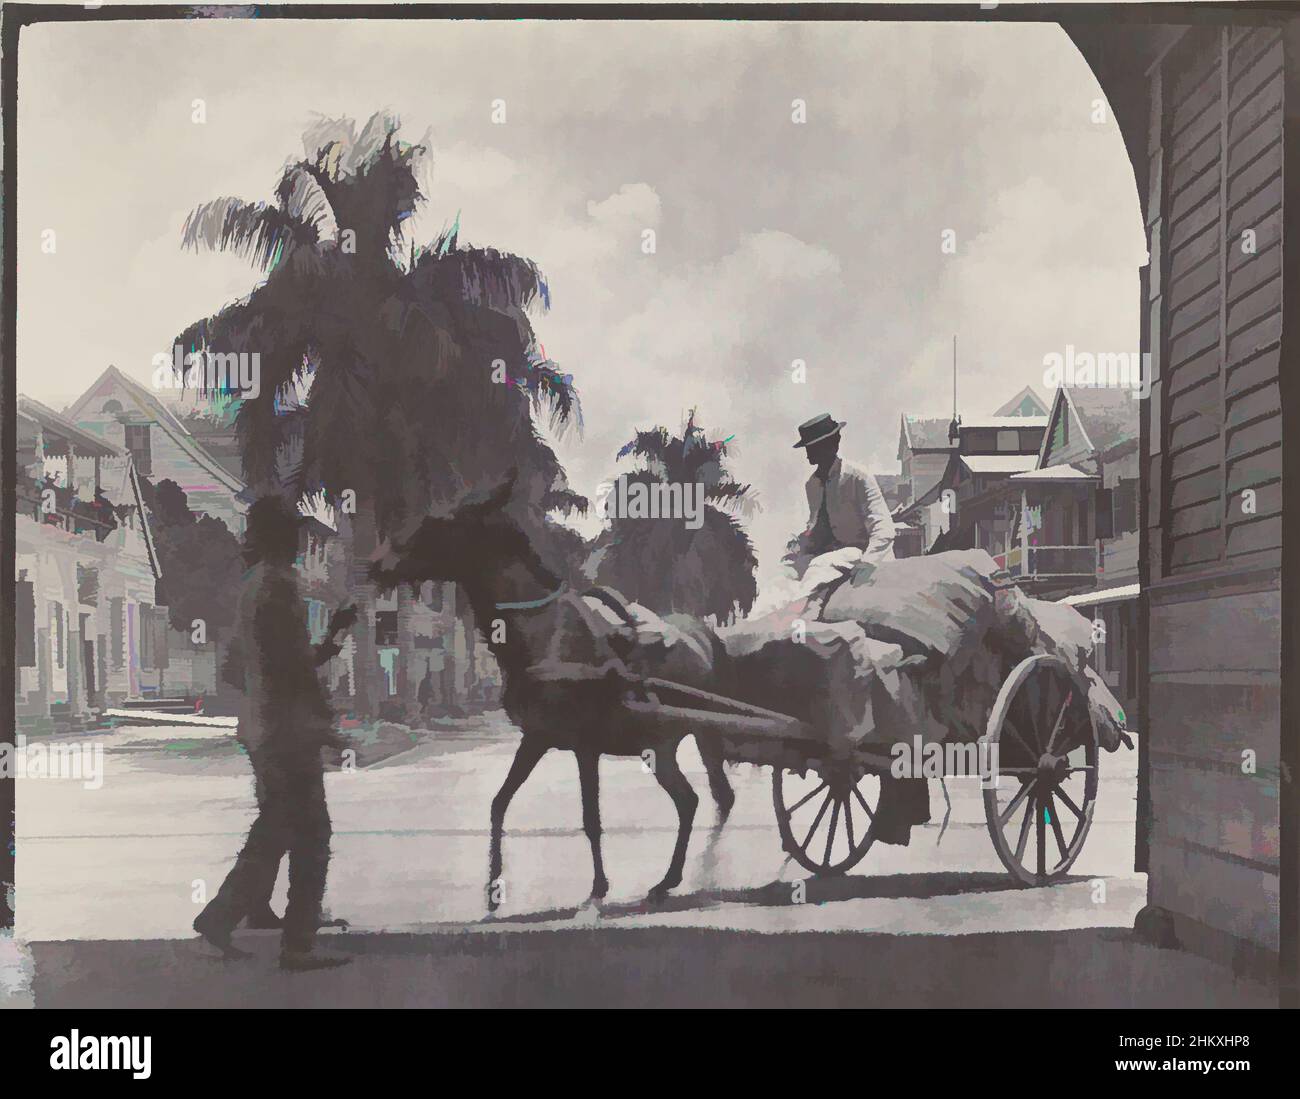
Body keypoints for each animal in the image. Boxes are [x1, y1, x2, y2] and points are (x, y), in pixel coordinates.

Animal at [371, 470, 738, 910]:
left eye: (436, 525)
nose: (377, 564)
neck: (541, 637)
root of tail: (702, 635)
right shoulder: (536, 738)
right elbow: (499, 803)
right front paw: (493, 888)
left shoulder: (586, 745)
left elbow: (591, 818)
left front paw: (599, 886)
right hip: (660, 744)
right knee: (692, 800)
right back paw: (668, 880)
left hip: (689, 734)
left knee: (703, 798)